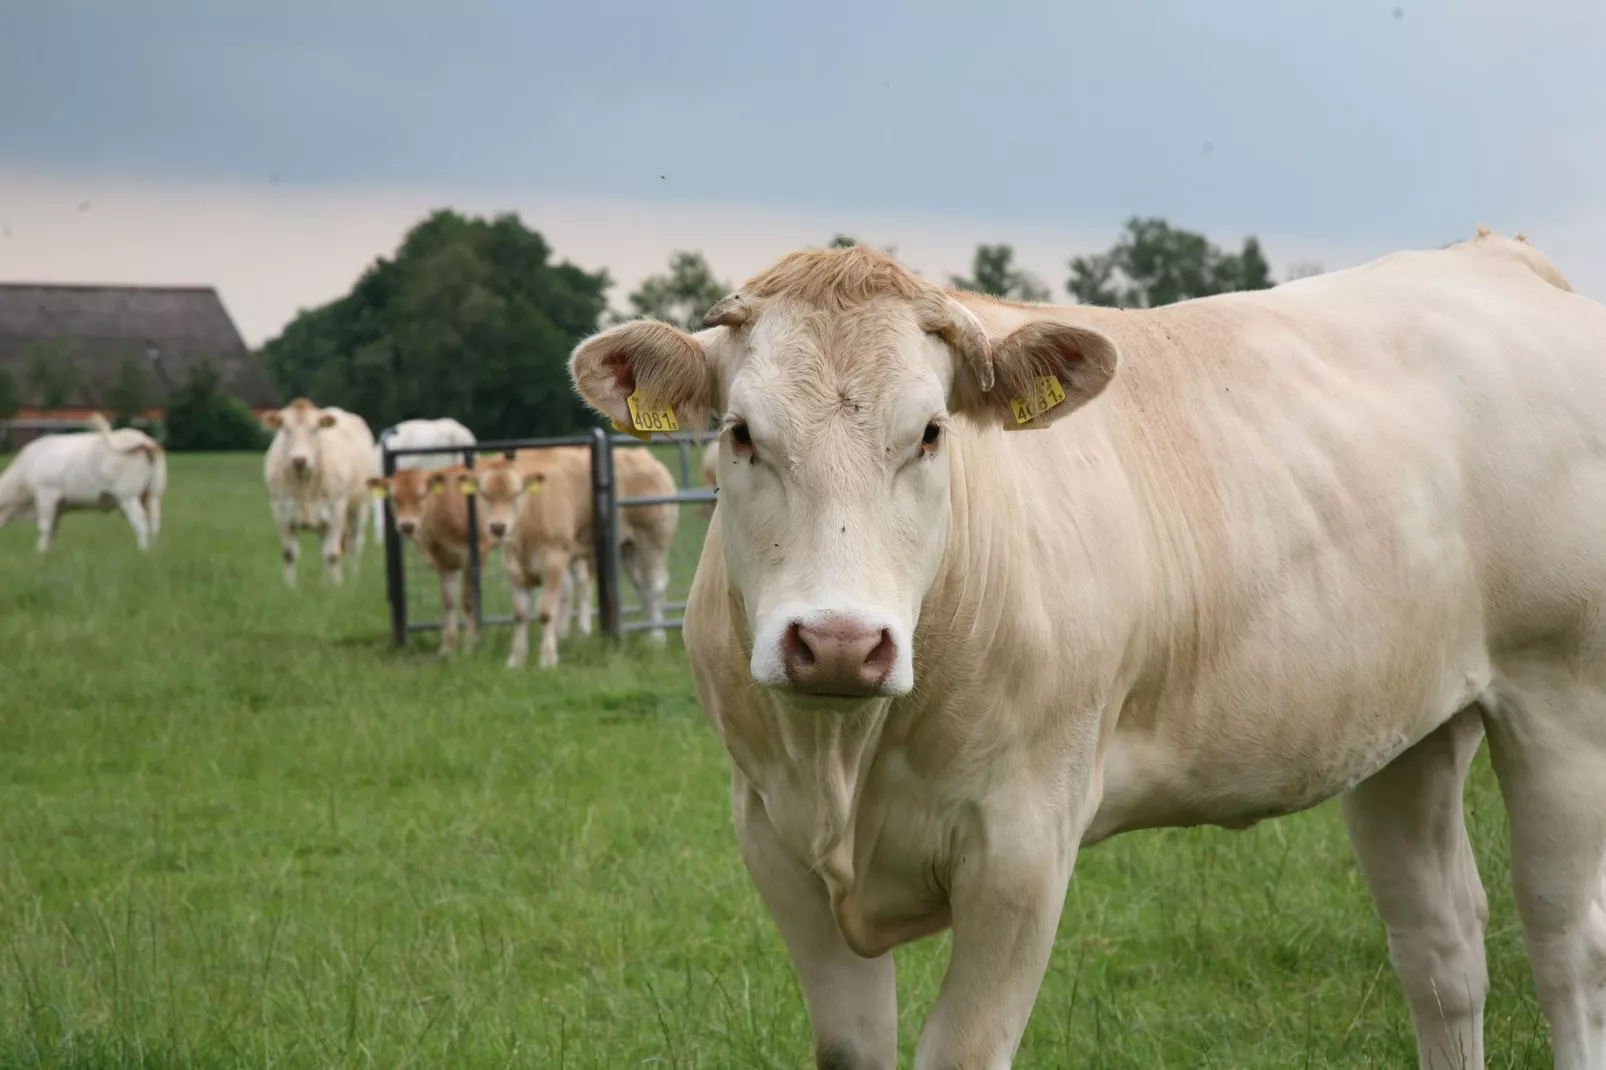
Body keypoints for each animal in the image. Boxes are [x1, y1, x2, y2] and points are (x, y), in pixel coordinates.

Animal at [0, 411, 166, 549]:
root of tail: (143, 439)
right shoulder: (57, 506)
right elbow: (52, 531)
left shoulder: (47, 495)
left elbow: (44, 528)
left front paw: (40, 553)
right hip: (152, 495)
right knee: (154, 524)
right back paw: (153, 552)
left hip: (128, 496)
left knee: (141, 523)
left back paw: (143, 551)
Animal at [263, 398, 379, 584]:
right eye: (286, 429)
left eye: (315, 428)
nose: (299, 460)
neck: (304, 485)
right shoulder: (280, 512)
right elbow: (289, 554)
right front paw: (289, 586)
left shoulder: (336, 511)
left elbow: (333, 554)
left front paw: (337, 586)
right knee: (324, 548)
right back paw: (324, 582)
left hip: (360, 507)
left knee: (354, 544)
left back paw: (353, 579)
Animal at [369, 465, 488, 655]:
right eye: (393, 497)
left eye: (422, 495)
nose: (407, 525)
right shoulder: (445, 561)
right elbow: (449, 601)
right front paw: (448, 648)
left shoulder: (478, 551)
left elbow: (469, 600)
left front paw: (469, 645)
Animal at [465, 443, 677, 668]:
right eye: (484, 494)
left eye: (516, 493)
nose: (498, 527)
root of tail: (643, 456)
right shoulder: (513, 567)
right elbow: (520, 614)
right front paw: (516, 660)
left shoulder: (554, 561)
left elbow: (546, 611)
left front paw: (548, 659)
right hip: (629, 549)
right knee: (641, 587)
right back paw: (648, 633)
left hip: (653, 541)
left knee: (655, 586)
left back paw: (657, 637)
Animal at [571, 231, 1606, 1066]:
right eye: (742, 434)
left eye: (931, 433)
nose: (836, 644)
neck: (844, 765)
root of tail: (1498, 258)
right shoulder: (774, 839)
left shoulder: (1024, 846)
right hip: (1405, 730)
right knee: (1441, 949)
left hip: (1562, 700)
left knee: (1566, 944)